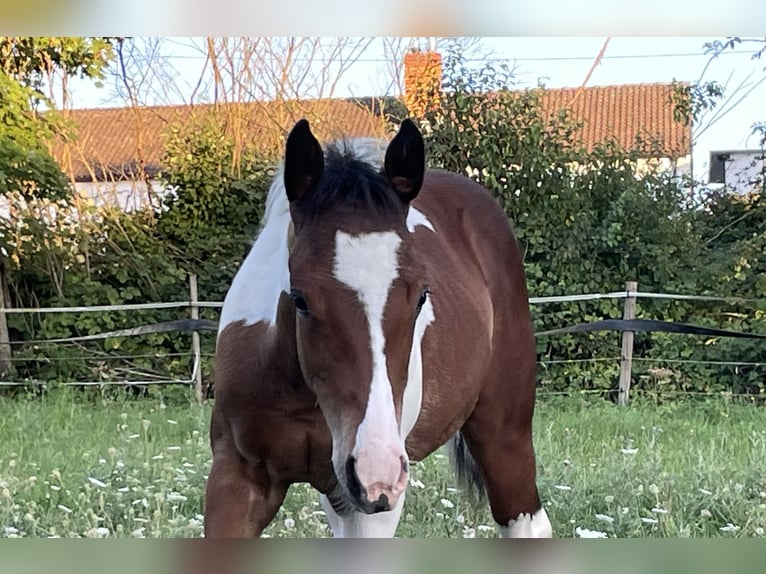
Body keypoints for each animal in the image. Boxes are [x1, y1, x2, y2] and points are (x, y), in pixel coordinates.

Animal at [204, 118, 552, 538]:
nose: (377, 472)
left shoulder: (372, 504)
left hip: (502, 433)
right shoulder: (239, 474)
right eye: (300, 298)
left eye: (422, 296)